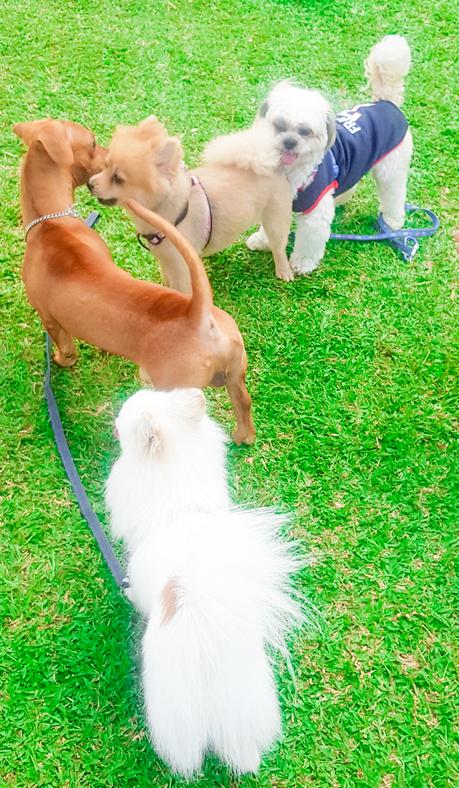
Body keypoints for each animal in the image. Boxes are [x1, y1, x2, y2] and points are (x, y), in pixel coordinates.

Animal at [14, 120, 256, 446]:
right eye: (93, 143)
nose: (107, 157)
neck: (50, 221)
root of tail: (198, 314)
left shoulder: (50, 319)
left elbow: (66, 346)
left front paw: (61, 360)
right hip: (235, 375)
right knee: (243, 404)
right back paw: (243, 436)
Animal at [248, 34, 416, 274]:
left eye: (305, 132)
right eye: (279, 126)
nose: (290, 141)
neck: (293, 173)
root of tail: (385, 102)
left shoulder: (314, 214)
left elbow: (308, 243)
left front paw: (301, 264)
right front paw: (262, 241)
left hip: (390, 170)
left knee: (394, 193)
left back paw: (392, 222)